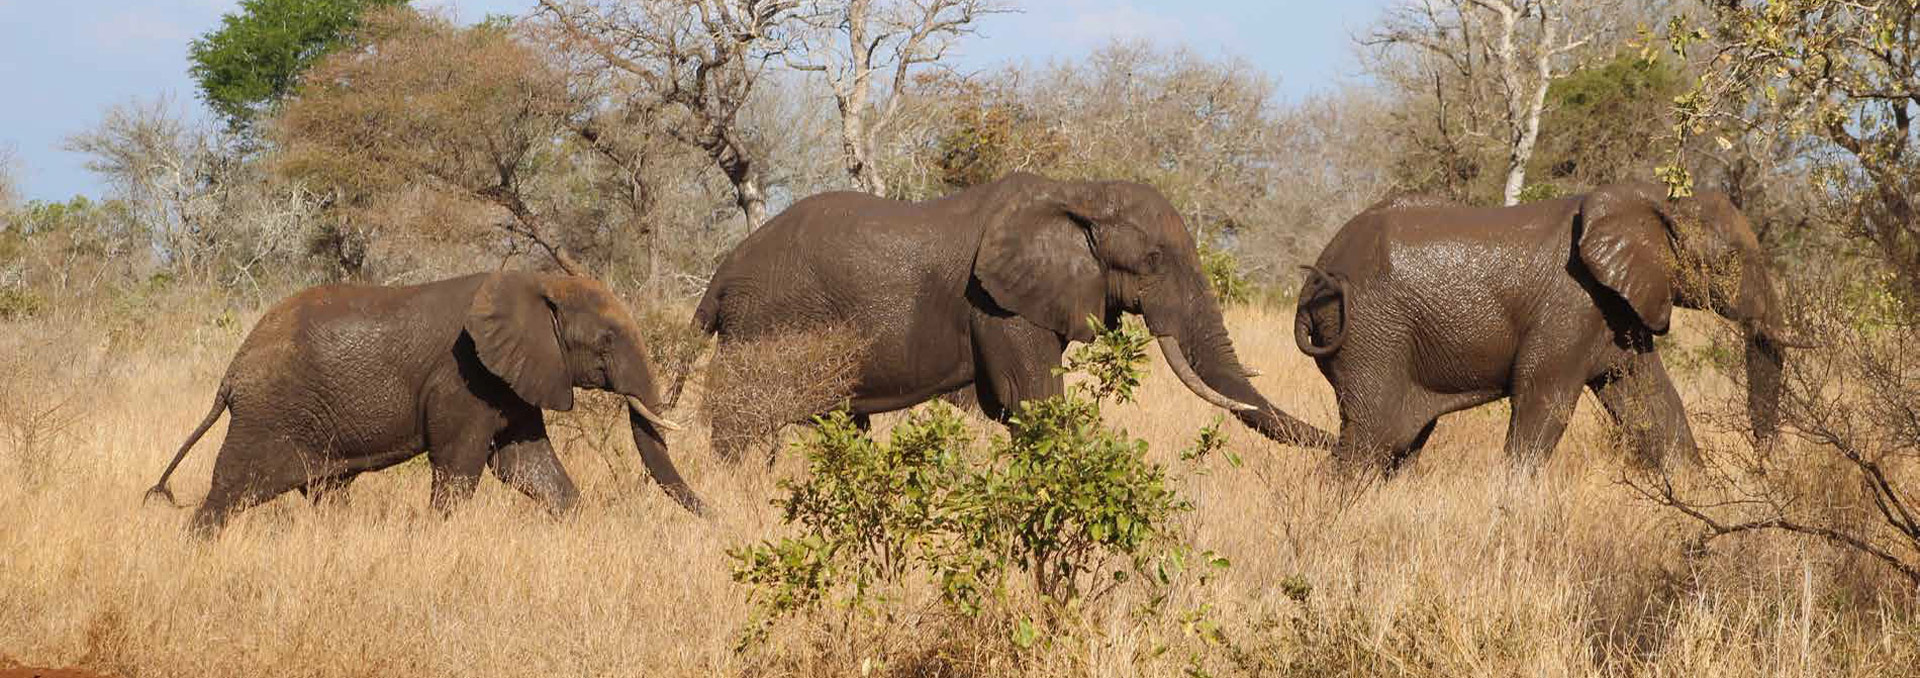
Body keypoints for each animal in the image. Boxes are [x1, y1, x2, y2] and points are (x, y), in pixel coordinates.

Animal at [147, 268, 706, 533]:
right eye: (607, 340)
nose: (715, 517)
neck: (539, 280)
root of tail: (231, 373)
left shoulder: (509, 378)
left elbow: (526, 464)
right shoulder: (464, 378)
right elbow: (459, 468)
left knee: (325, 494)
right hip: (269, 415)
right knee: (228, 495)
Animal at [687, 169, 1336, 457]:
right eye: (1153, 260)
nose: (1342, 446)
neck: (1078, 193)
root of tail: (720, 277)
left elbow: (1002, 408)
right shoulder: (999, 305)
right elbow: (1034, 402)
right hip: (767, 324)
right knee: (744, 425)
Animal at [1297, 182, 1804, 472]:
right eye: (1731, 262)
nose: (1764, 466)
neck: (1663, 206)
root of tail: (1315, 276)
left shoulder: (1616, 309)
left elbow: (1651, 402)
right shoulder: (1571, 306)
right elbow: (1544, 400)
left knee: (1400, 444)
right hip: (1369, 334)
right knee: (1372, 440)